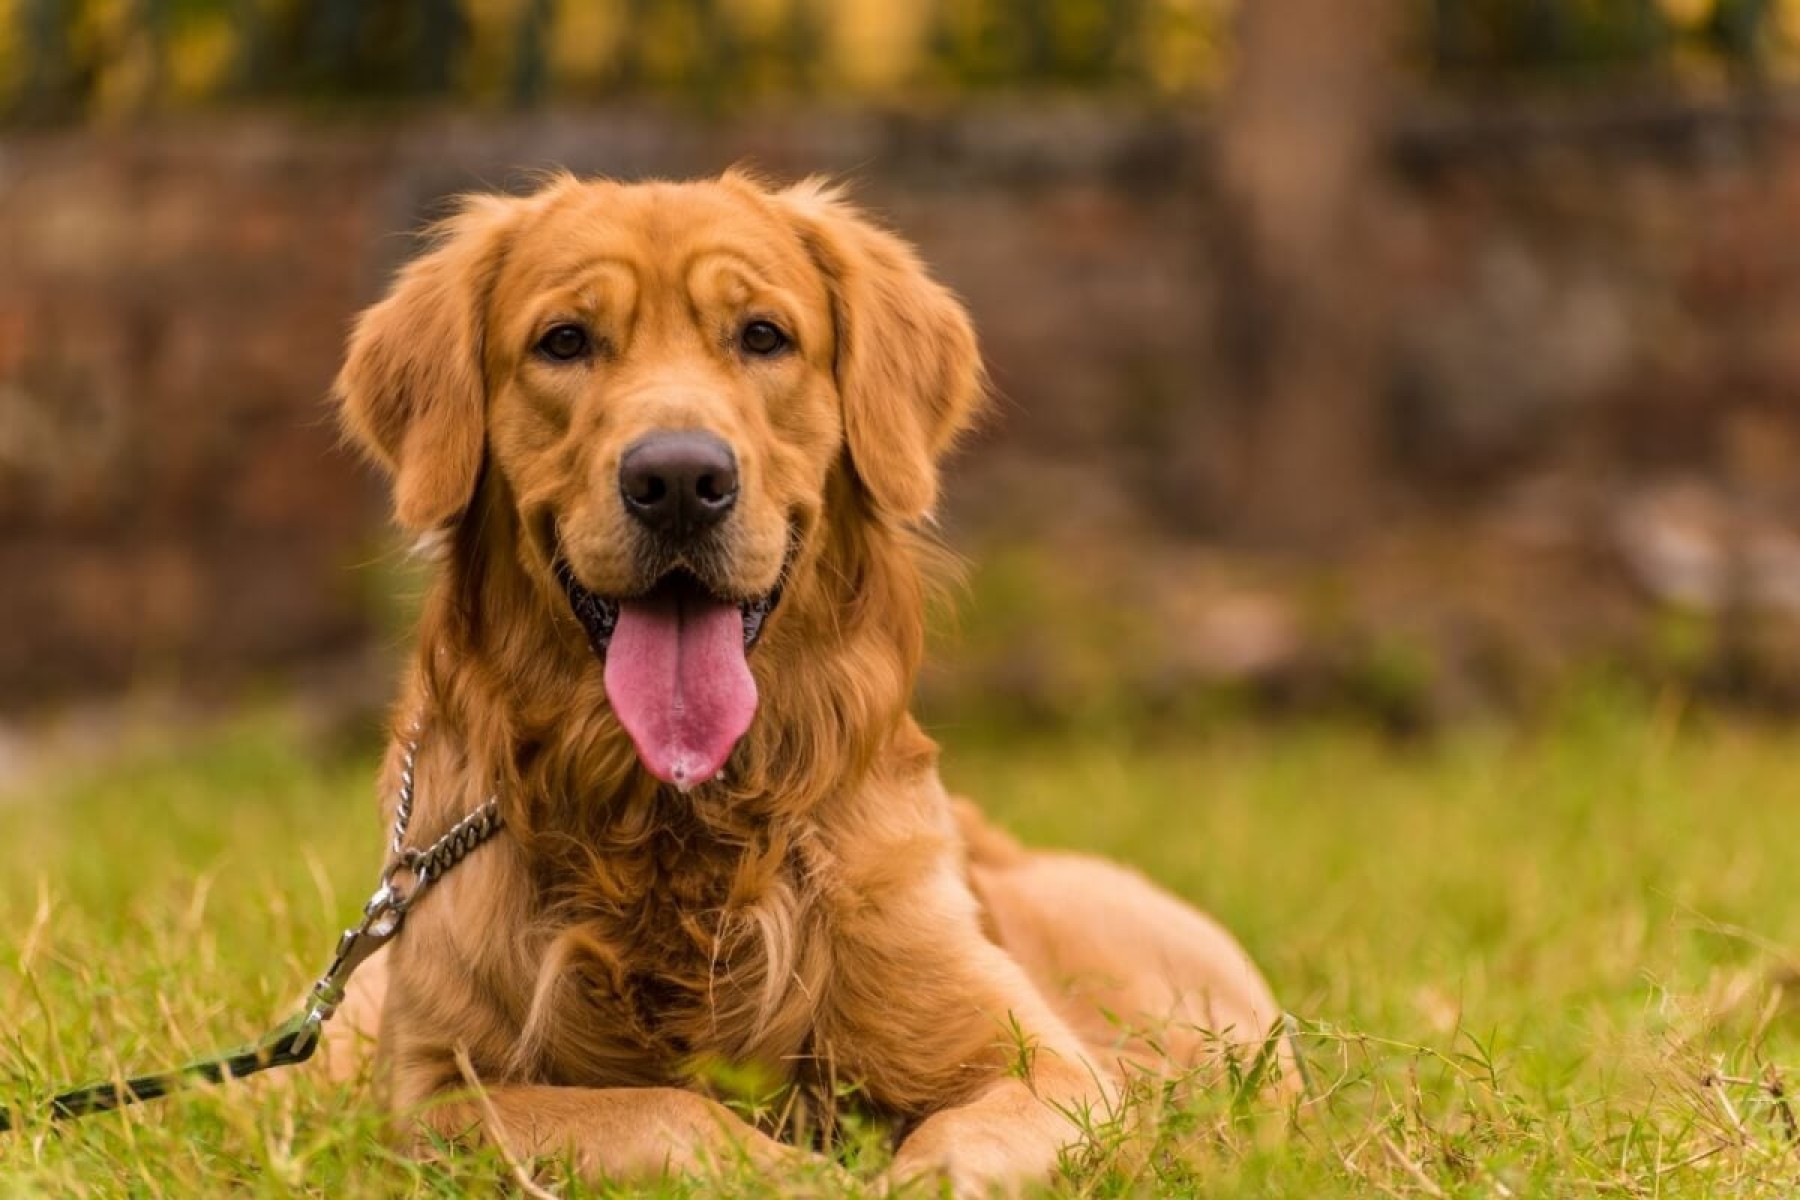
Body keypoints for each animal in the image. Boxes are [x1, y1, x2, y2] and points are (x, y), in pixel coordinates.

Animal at [324, 173, 1288, 1194]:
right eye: (565, 341)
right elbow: (653, 1108)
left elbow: (962, 1141)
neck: (678, 822)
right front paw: (791, 1172)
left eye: (762, 336)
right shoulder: (432, 1096)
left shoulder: (1045, 1065)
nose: (679, 479)